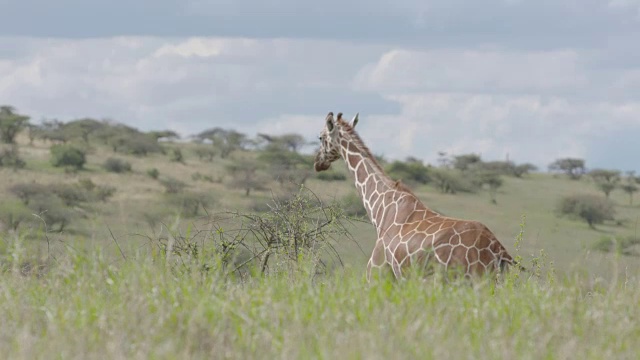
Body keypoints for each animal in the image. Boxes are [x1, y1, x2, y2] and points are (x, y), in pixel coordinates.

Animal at [312, 112, 516, 282]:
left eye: (320, 137)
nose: (317, 163)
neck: (380, 209)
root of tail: (498, 249)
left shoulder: (378, 273)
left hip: (470, 280)